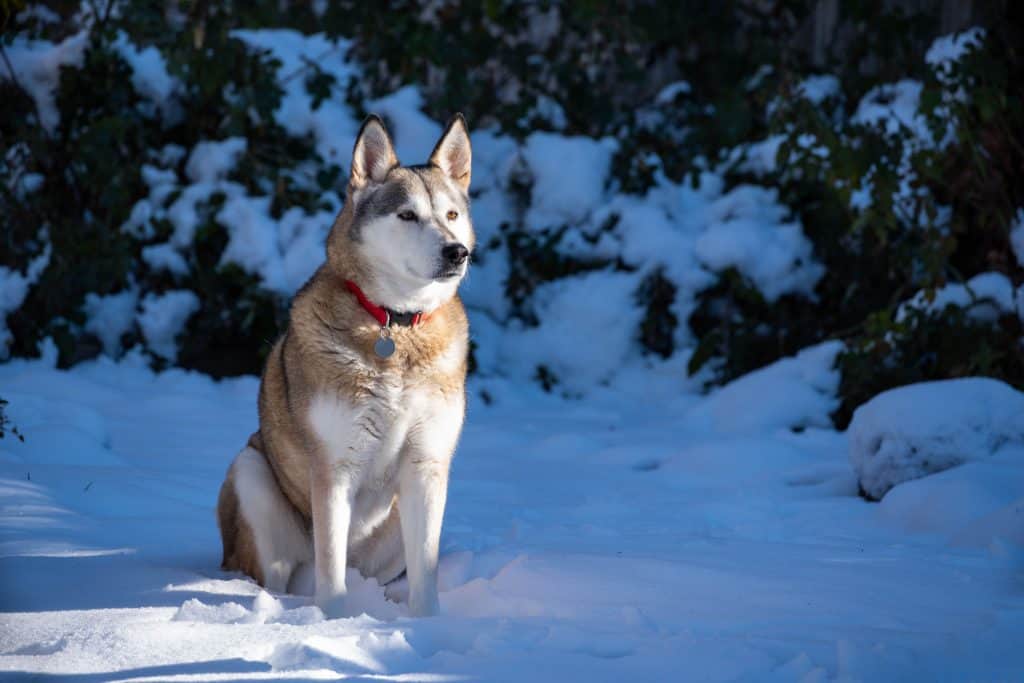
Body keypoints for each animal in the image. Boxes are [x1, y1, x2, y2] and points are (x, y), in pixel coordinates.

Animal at [218, 113, 473, 618]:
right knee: (278, 573)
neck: (396, 326)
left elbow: (426, 568)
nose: (457, 251)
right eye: (407, 215)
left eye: (451, 215)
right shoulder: (333, 467)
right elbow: (330, 565)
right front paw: (334, 622)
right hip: (250, 475)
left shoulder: (427, 465)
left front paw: (427, 623)